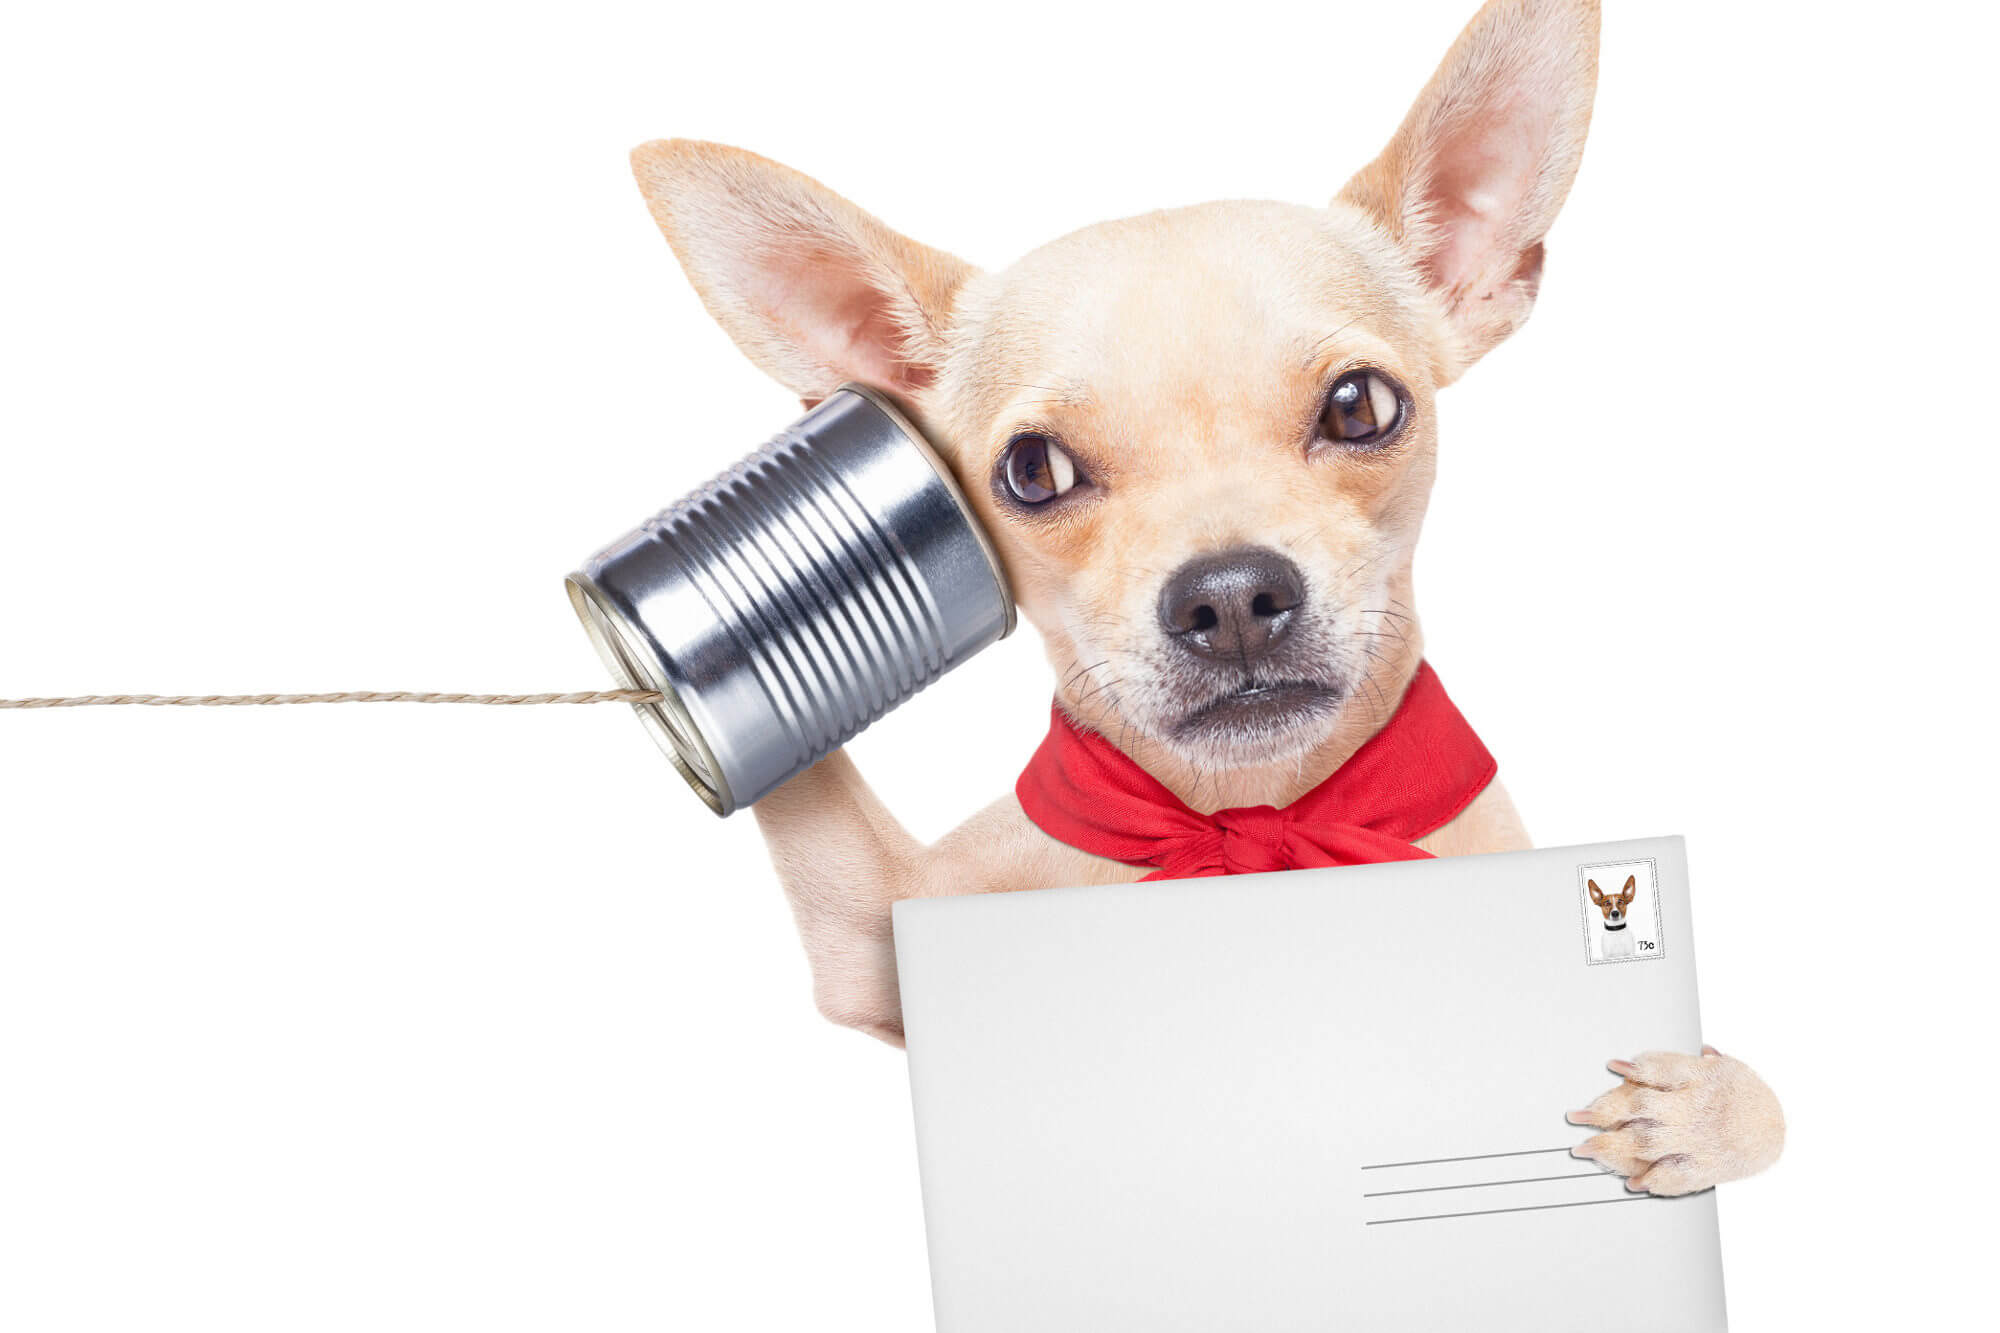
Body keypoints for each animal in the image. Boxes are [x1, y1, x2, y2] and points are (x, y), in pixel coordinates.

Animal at [624, 0, 1784, 1192]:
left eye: (1360, 406)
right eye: (1031, 471)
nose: (1226, 595)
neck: (1247, 819)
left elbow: (1768, 1103)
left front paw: (1699, 1108)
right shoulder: (873, 930)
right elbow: (802, 787)